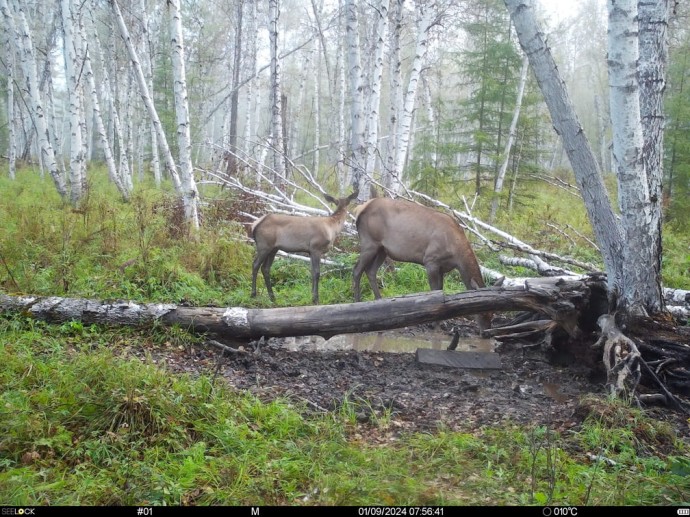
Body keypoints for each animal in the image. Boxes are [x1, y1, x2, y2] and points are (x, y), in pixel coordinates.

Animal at [352, 196, 492, 332]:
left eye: (492, 313)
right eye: (482, 311)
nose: (486, 332)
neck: (456, 253)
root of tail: (359, 209)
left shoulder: (442, 268)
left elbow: (440, 290)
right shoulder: (430, 260)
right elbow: (435, 291)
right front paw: (435, 324)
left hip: (382, 249)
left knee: (370, 271)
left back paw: (378, 301)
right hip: (369, 242)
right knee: (357, 270)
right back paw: (357, 303)